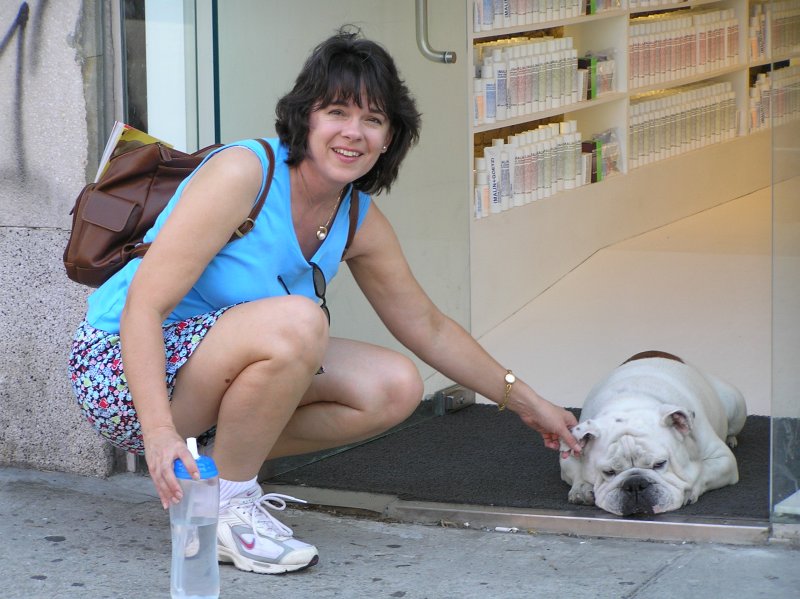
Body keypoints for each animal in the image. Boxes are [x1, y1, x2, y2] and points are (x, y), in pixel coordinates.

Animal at [560, 351, 747, 516]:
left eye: (660, 464)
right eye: (609, 472)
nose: (635, 484)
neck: (630, 405)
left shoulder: (723, 459)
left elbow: (702, 471)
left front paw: (690, 489)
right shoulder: (569, 450)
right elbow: (576, 470)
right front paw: (582, 487)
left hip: (735, 403)